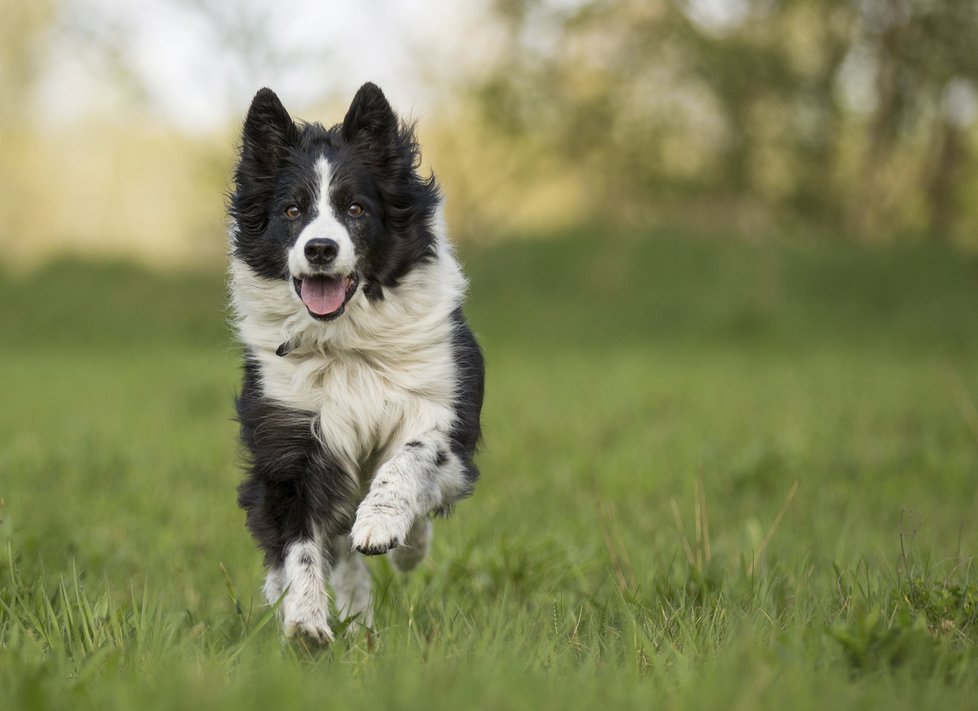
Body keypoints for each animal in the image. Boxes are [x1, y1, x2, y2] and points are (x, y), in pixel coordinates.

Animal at [226, 83, 484, 644]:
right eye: (292, 211)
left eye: (356, 208)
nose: (321, 249)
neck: (345, 341)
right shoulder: (291, 440)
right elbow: (300, 544)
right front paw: (305, 621)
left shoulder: (445, 412)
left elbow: (411, 457)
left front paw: (383, 525)